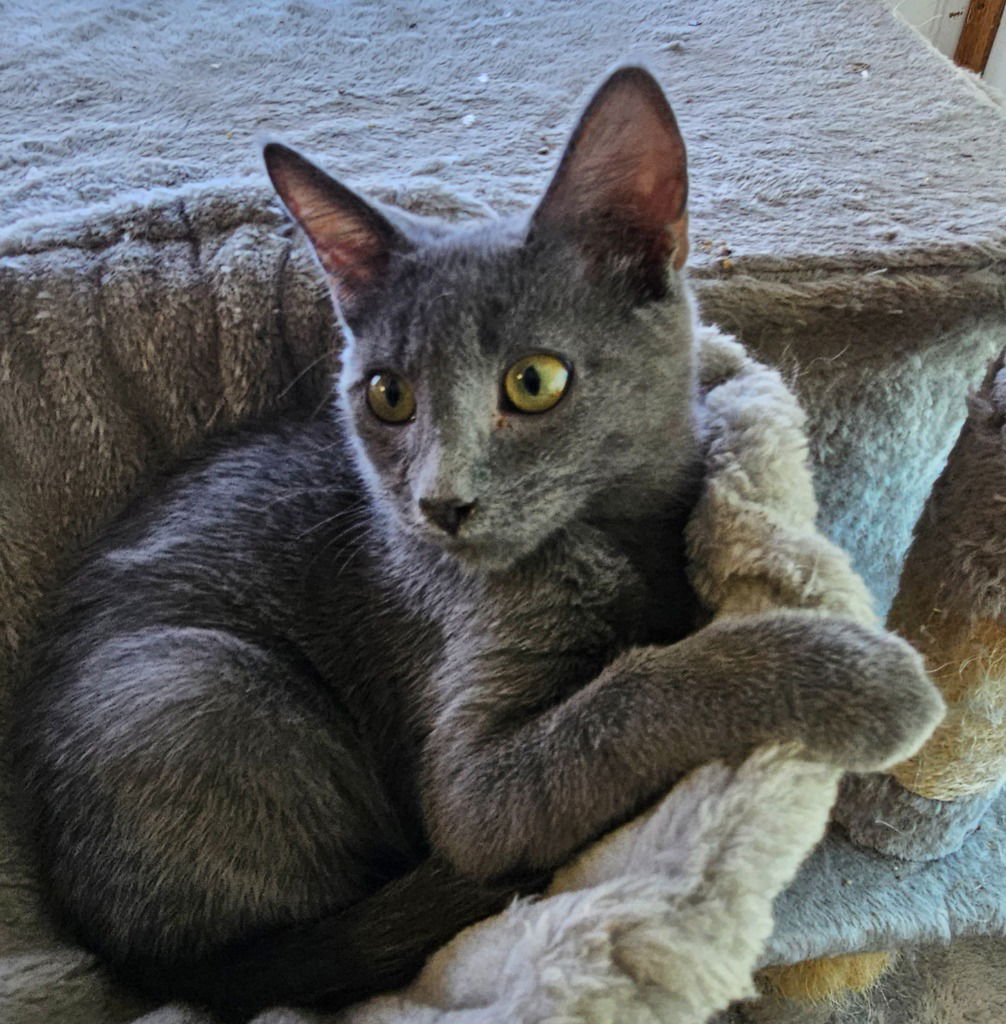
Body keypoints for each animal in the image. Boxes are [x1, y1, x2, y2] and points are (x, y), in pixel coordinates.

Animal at [13, 68, 946, 1019]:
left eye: (535, 382)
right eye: (387, 395)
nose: (440, 502)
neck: (612, 536)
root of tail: (123, 955)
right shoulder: (473, 778)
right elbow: (623, 701)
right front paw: (854, 673)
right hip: (197, 680)